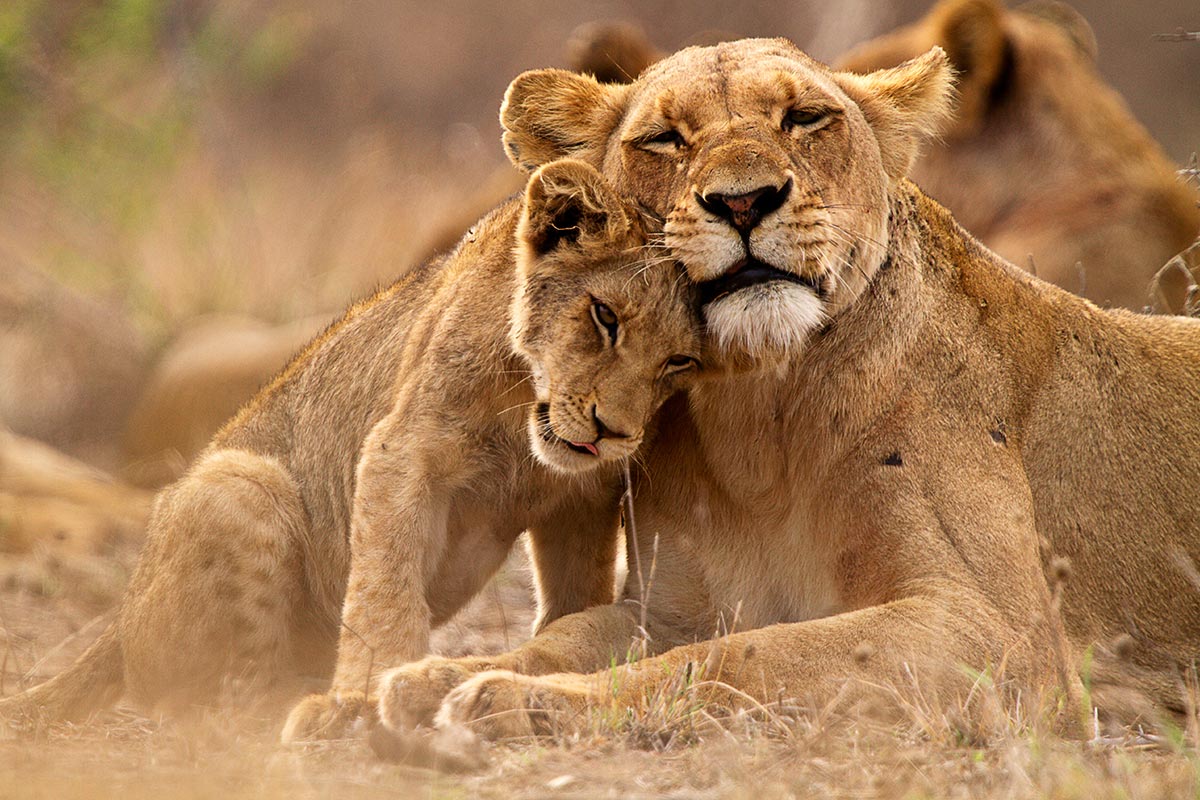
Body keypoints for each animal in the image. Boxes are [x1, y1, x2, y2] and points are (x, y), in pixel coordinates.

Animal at [0, 159, 702, 740]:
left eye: (681, 362)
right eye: (605, 317)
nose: (614, 433)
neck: (523, 418)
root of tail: (117, 626)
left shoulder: (581, 499)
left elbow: (574, 598)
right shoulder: (402, 451)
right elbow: (384, 588)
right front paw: (367, 695)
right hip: (238, 484)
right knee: (219, 703)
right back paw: (301, 706)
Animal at [369, 38, 1200, 743]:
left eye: (804, 118)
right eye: (664, 139)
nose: (743, 202)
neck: (756, 418)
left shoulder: (1002, 634)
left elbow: (745, 657)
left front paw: (512, 703)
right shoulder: (671, 609)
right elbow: (566, 636)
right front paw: (433, 679)